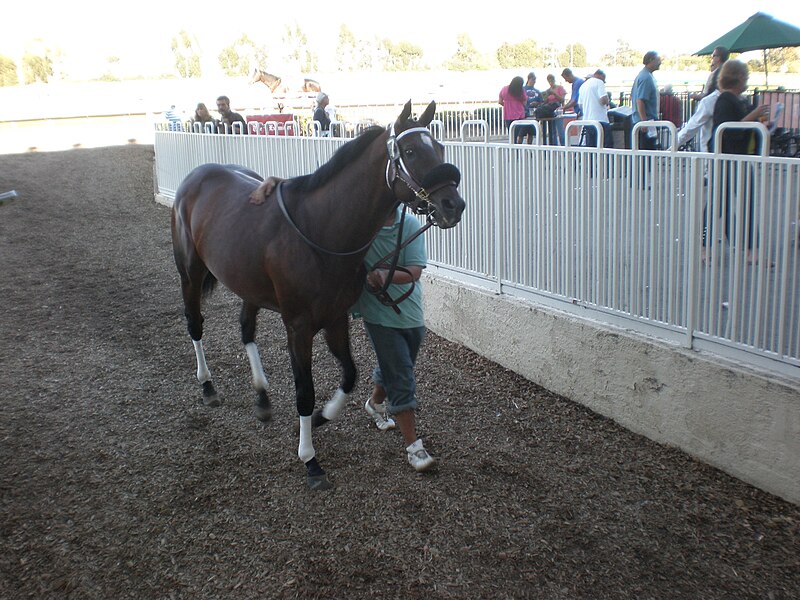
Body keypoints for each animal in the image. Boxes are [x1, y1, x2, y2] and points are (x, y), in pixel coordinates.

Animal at [172, 99, 466, 488]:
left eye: (441, 148)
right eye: (411, 151)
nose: (453, 205)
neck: (320, 230)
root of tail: (196, 176)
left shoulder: (336, 318)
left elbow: (351, 375)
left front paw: (322, 417)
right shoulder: (298, 327)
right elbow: (305, 391)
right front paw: (309, 459)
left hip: (249, 285)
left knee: (246, 330)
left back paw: (262, 396)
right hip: (189, 275)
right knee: (195, 325)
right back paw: (207, 386)